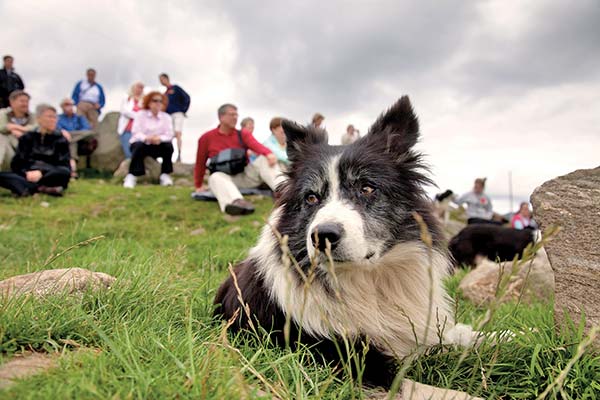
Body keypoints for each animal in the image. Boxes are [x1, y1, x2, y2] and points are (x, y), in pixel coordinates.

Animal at [213, 95, 480, 390]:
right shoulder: (345, 358)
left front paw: (497, 336)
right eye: (311, 197)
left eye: (366, 188)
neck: (366, 280)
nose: (323, 236)